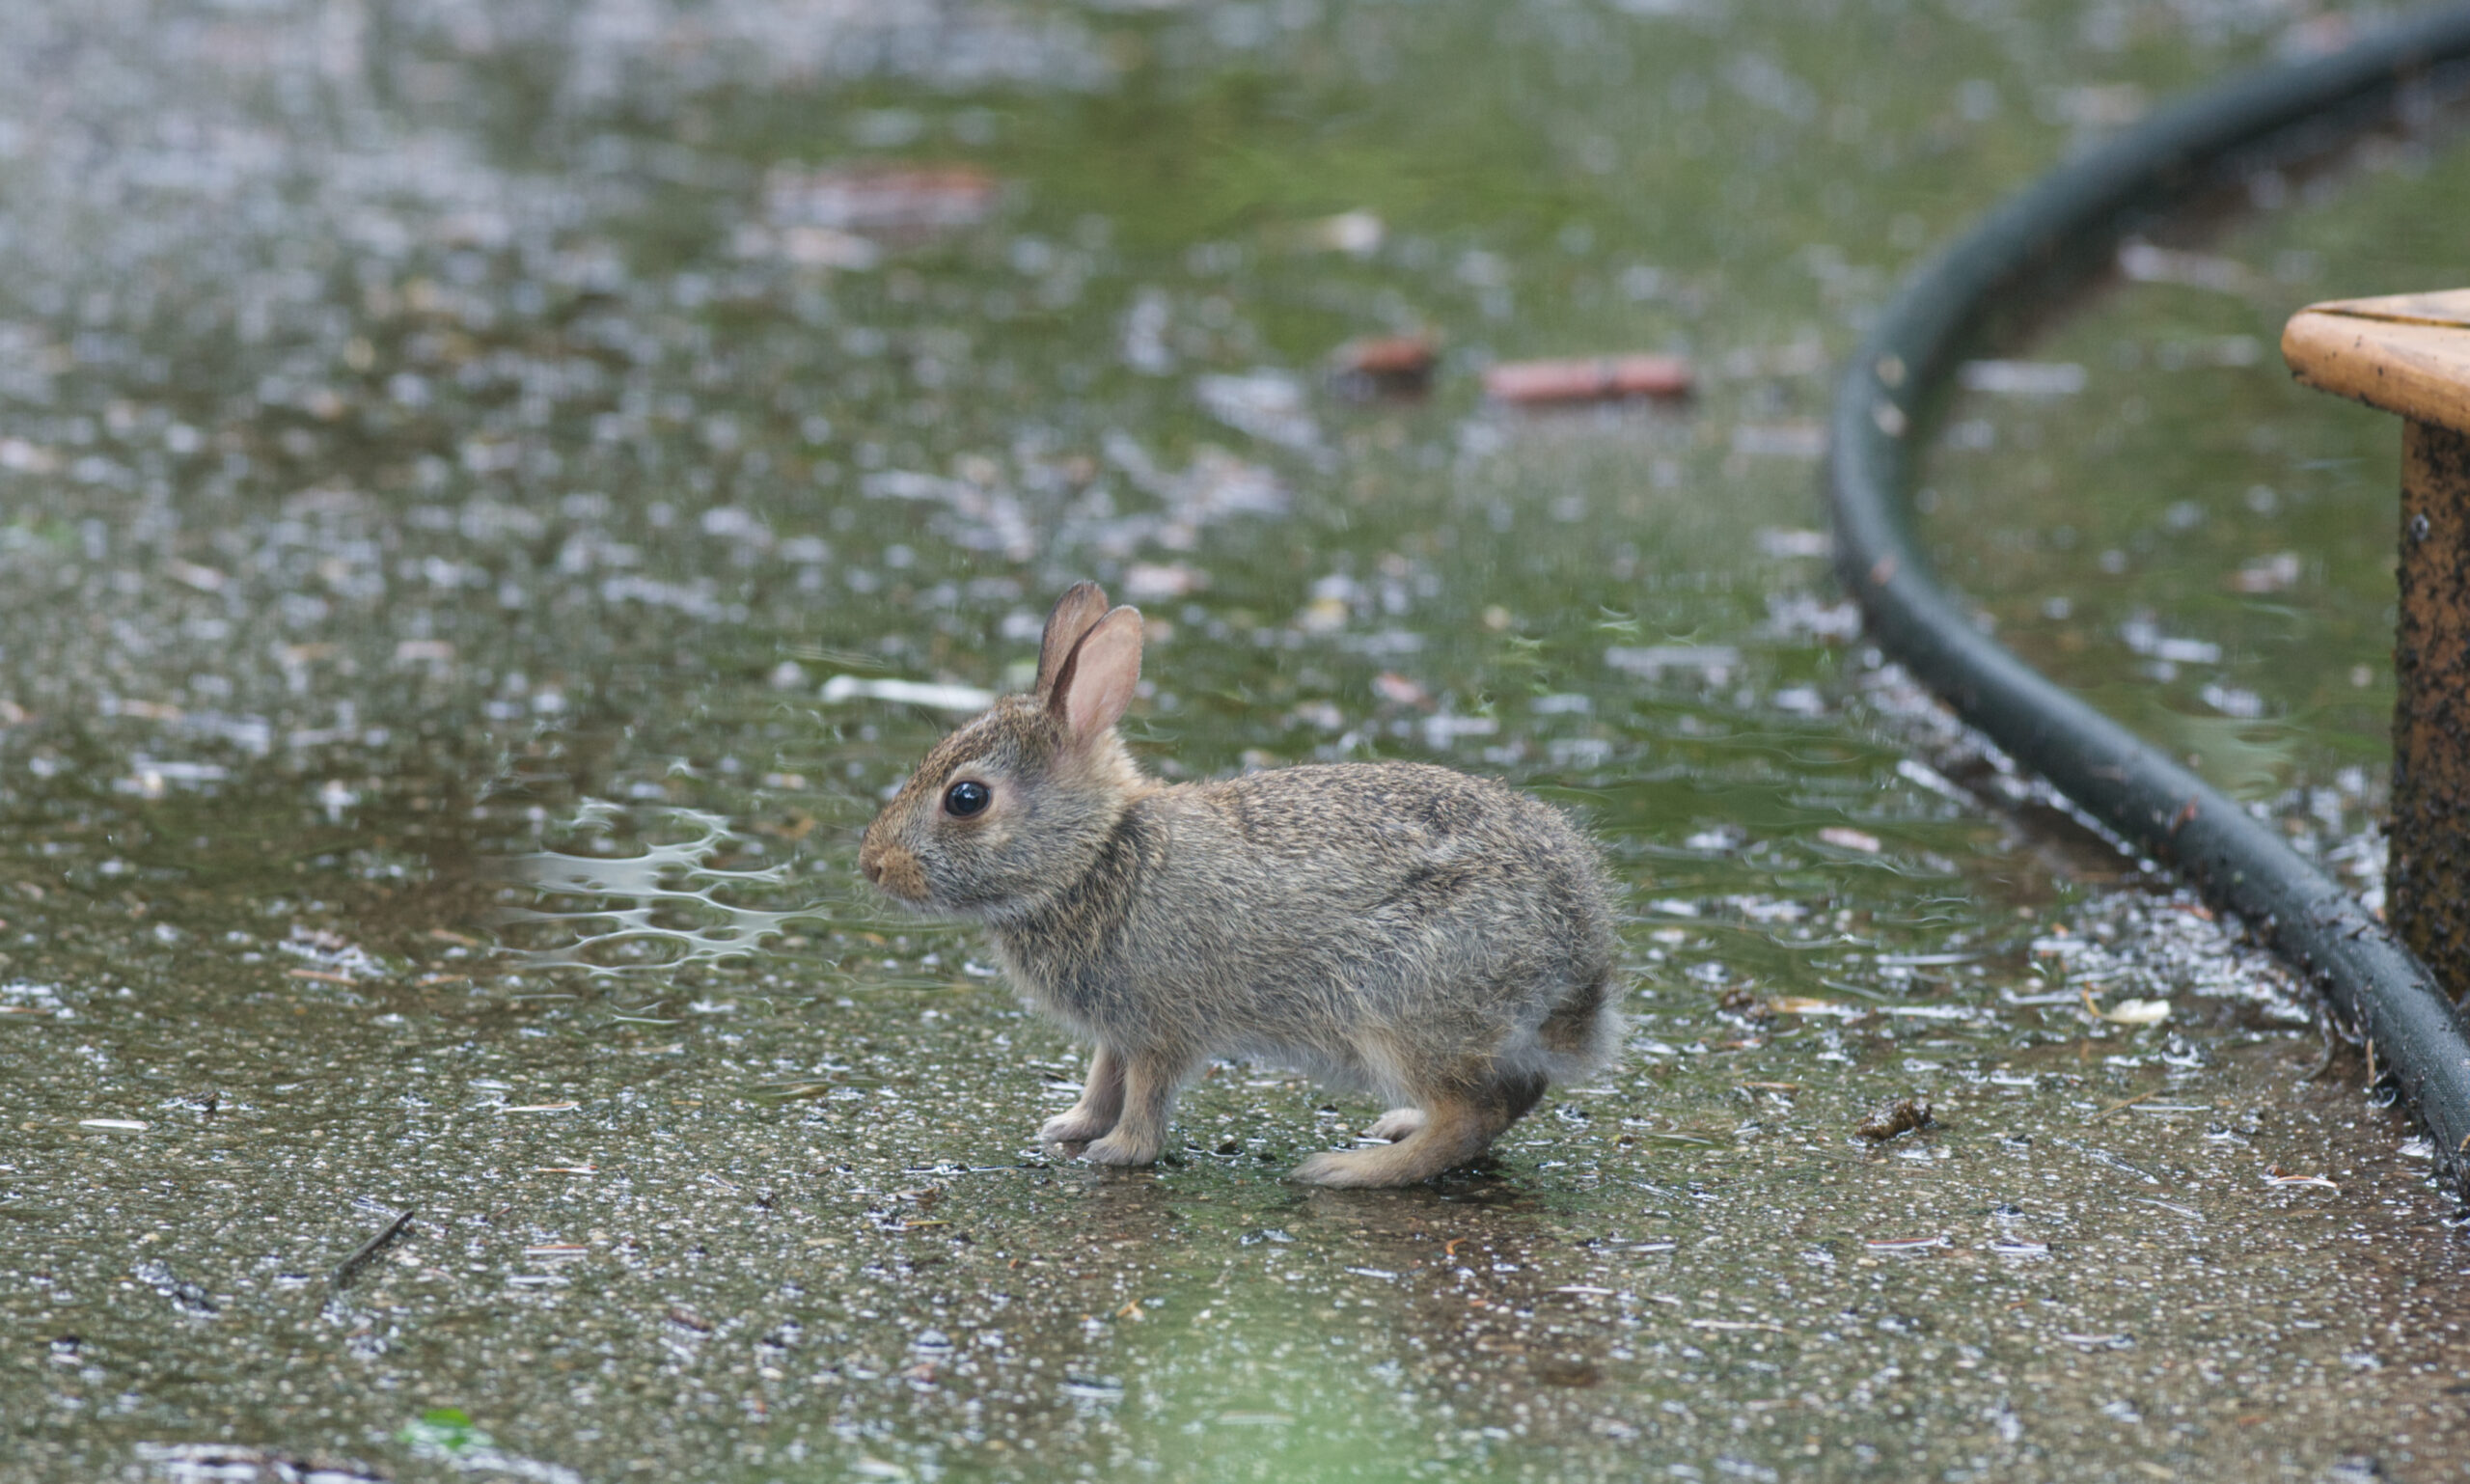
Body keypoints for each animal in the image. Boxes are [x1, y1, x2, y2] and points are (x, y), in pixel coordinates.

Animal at [857, 581, 1622, 1187]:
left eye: (966, 799)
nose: (873, 865)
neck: (1094, 856)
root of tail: (1580, 964)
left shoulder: (1161, 1023)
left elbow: (1145, 1092)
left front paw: (1120, 1153)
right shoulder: (1118, 1028)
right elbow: (1103, 1077)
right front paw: (1069, 1127)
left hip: (1399, 1001)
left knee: (1476, 1112)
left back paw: (1348, 1169)